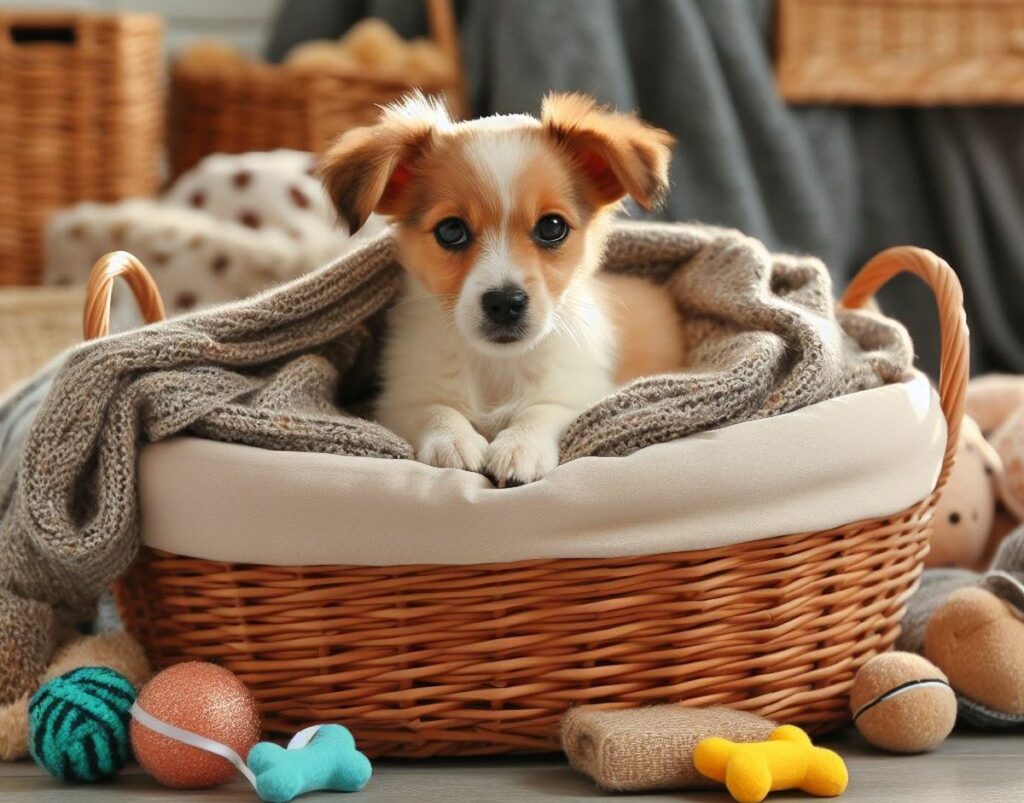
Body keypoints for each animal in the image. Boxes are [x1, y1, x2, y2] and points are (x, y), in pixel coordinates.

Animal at [319, 92, 684, 483]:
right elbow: (434, 409)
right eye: (450, 230)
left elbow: (544, 409)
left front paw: (520, 445)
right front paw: (452, 440)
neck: (496, 368)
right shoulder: (400, 399)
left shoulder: (581, 391)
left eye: (552, 226)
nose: (506, 303)